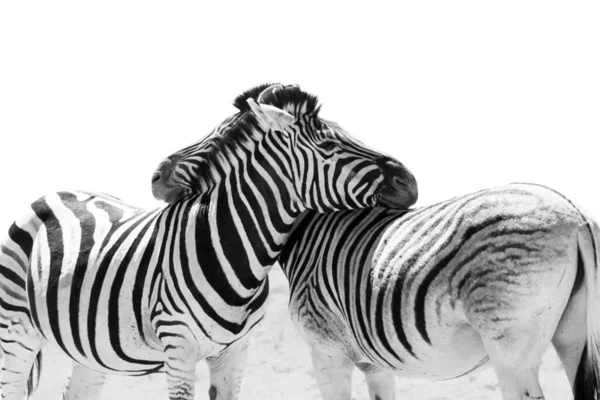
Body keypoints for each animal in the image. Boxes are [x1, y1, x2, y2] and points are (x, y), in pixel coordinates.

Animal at [0, 83, 418, 398]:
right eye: (329, 146)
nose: (410, 182)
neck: (232, 249)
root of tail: (58, 192)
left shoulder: (236, 353)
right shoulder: (178, 350)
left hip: (86, 347)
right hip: (16, 329)